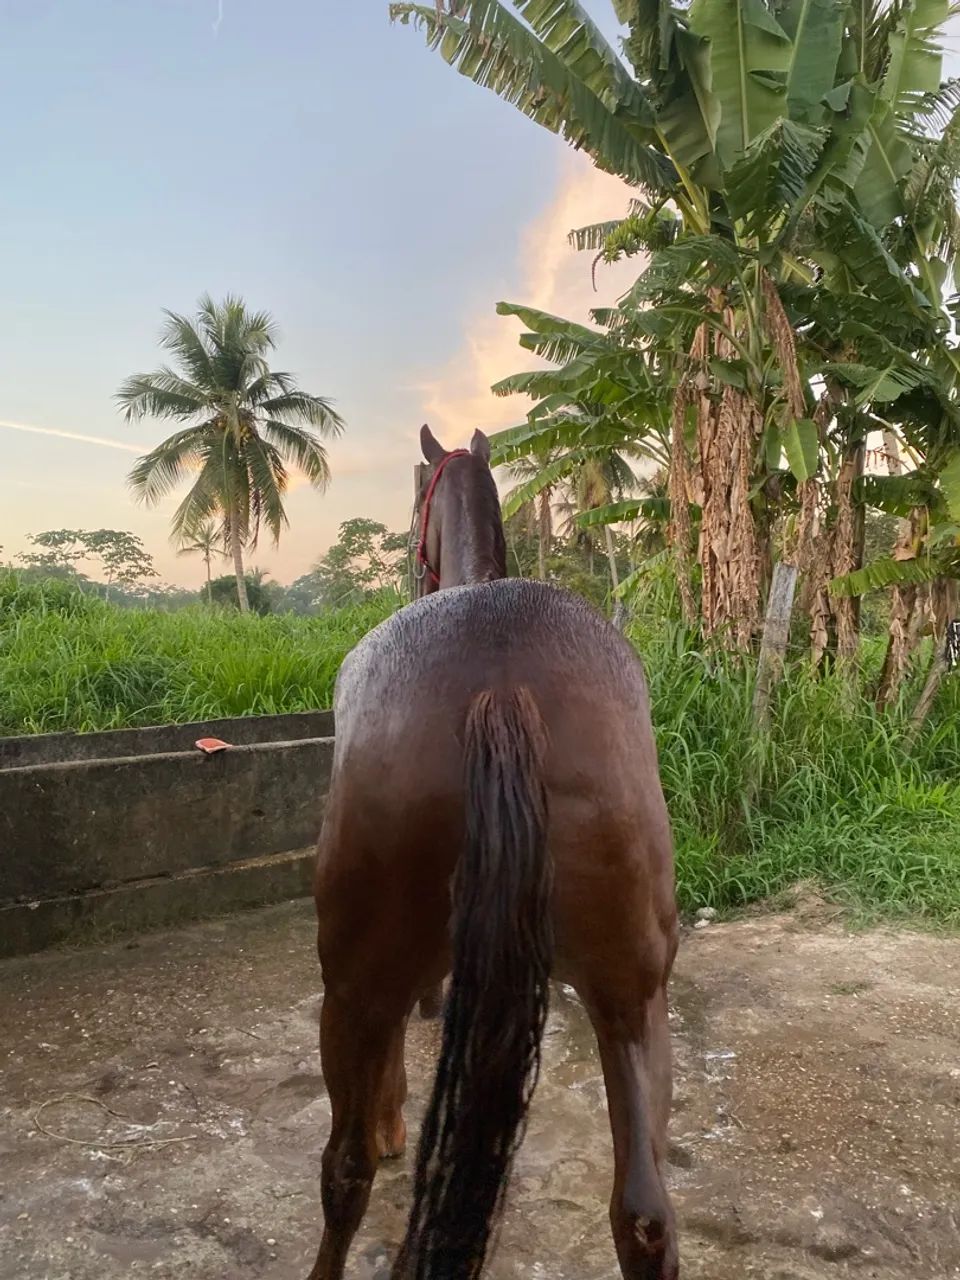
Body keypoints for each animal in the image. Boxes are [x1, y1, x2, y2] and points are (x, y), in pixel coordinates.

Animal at [307, 425, 679, 1280]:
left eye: (415, 494)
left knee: (343, 1170)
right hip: (634, 999)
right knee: (645, 1216)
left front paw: (390, 1122)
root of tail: (504, 689)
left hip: (351, 986)